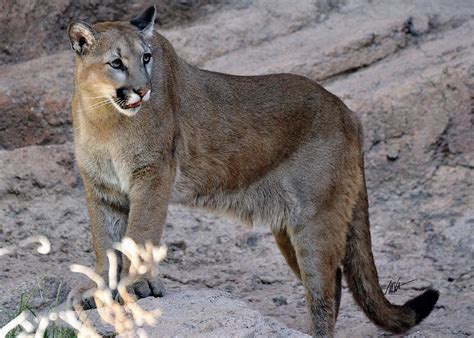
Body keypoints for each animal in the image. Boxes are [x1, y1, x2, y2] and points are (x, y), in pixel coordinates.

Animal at [67, 4, 440, 336]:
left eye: (146, 58)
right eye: (116, 63)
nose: (143, 90)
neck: (105, 117)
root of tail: (348, 112)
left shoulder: (153, 175)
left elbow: (140, 232)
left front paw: (139, 285)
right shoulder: (102, 188)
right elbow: (105, 241)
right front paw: (100, 290)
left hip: (317, 216)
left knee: (324, 287)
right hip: (288, 226)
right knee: (332, 280)